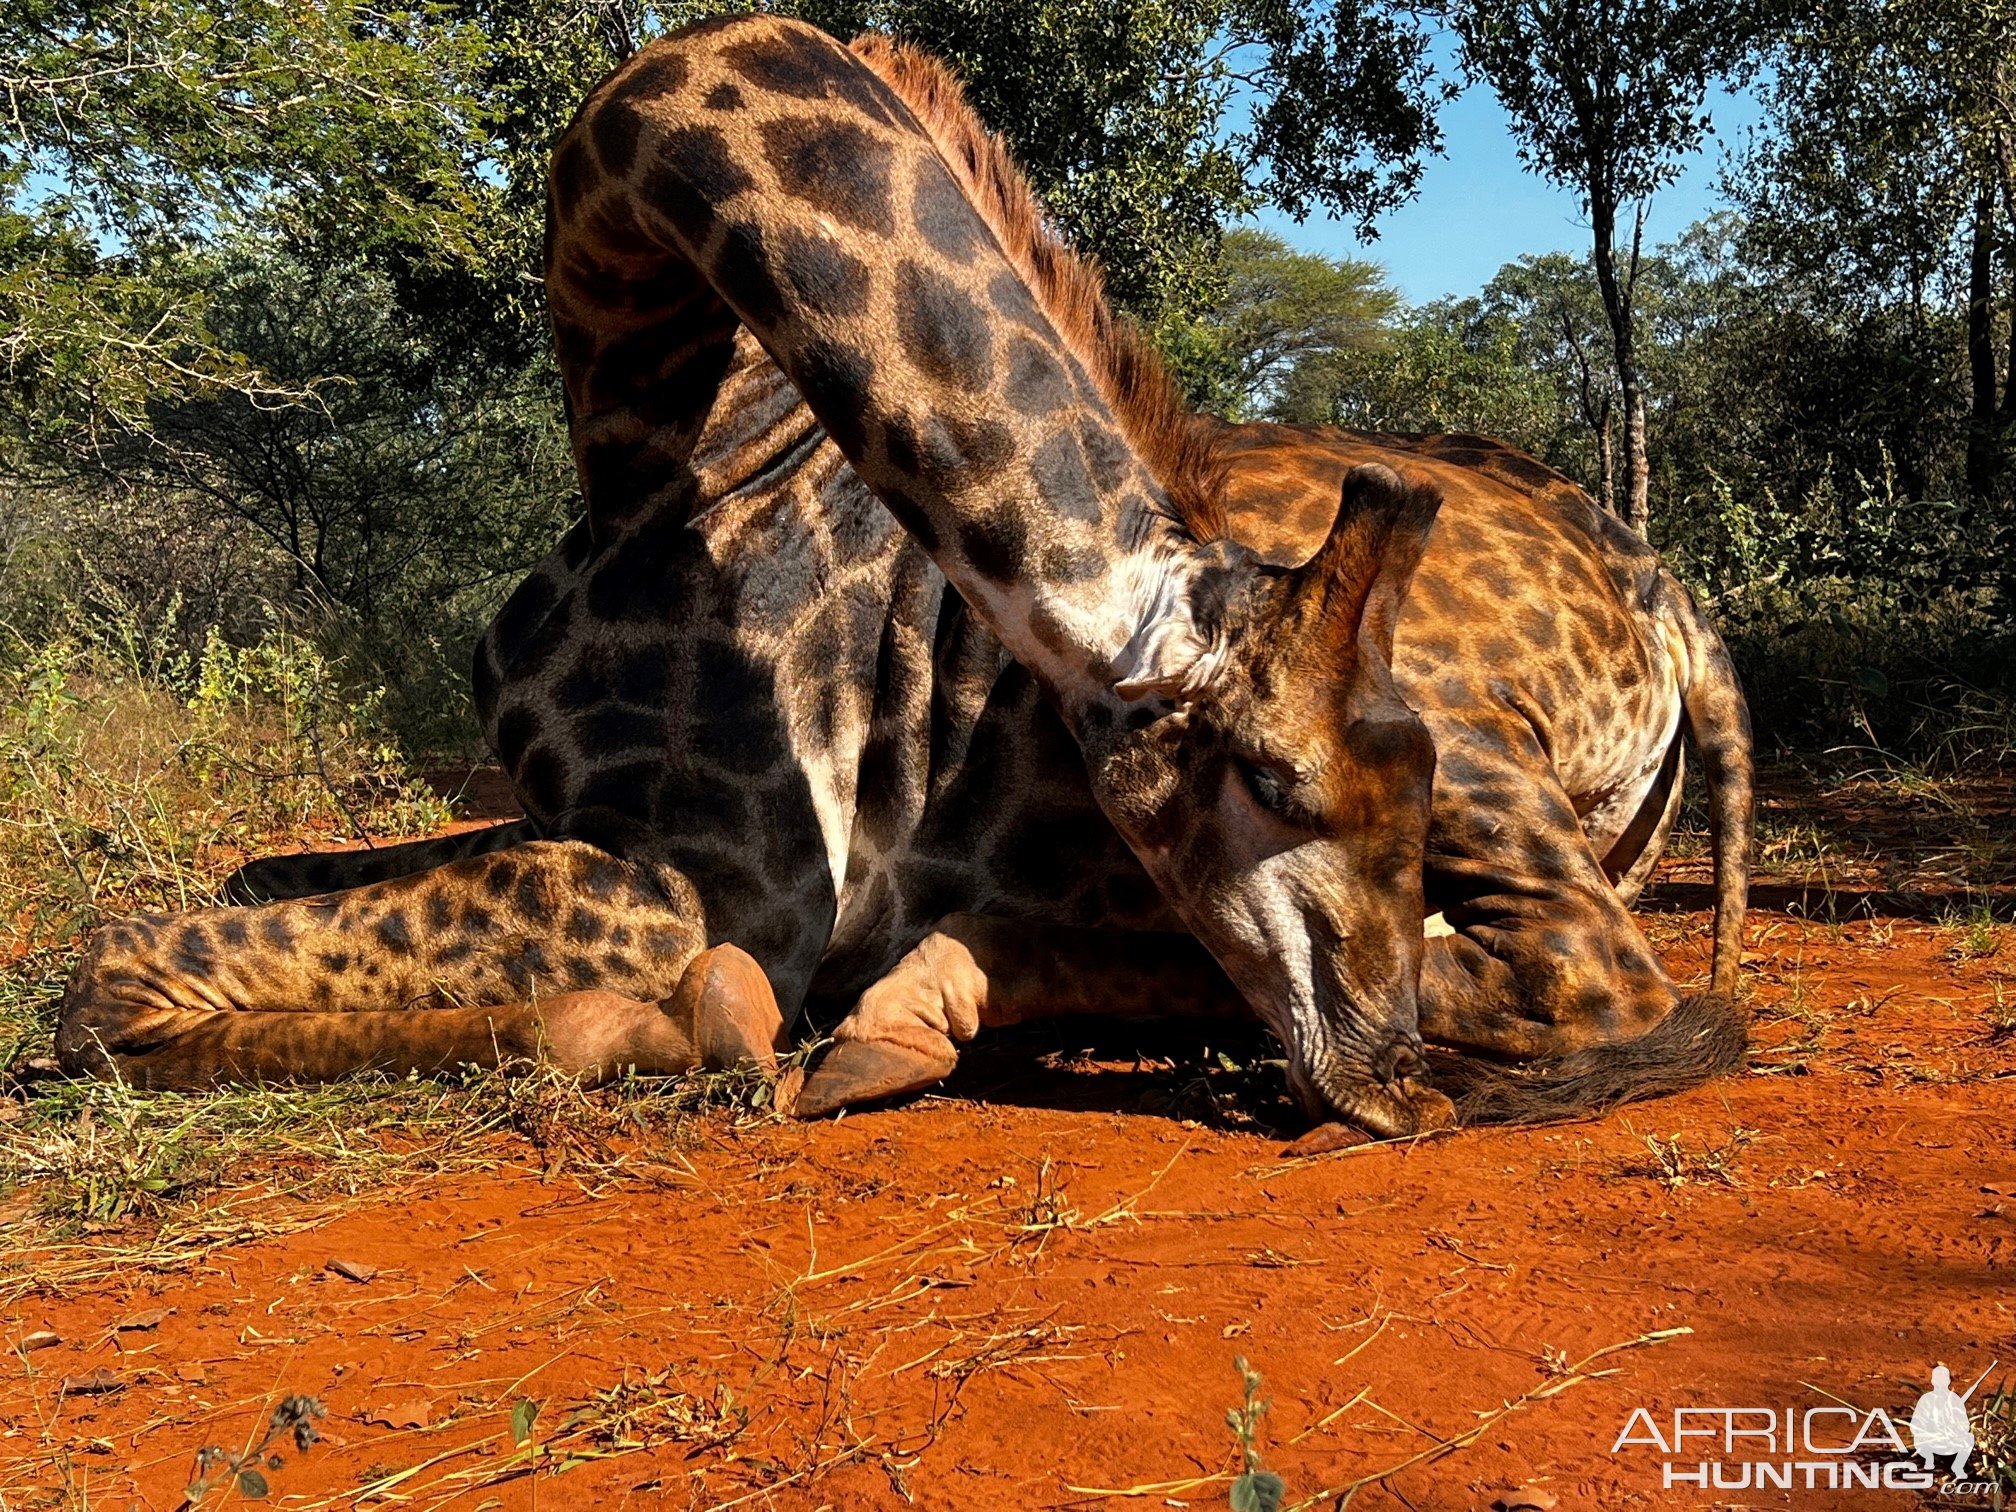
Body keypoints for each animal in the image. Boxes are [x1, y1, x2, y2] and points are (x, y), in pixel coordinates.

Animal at [47, 20, 1749, 1137]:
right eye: (1274, 779)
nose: (1394, 1088)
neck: (657, 430)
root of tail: (1667, 599)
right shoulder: (579, 817)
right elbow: (249, 879)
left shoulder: (721, 876)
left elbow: (105, 979)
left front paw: (692, 1023)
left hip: (1498, 776)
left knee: (1602, 978)